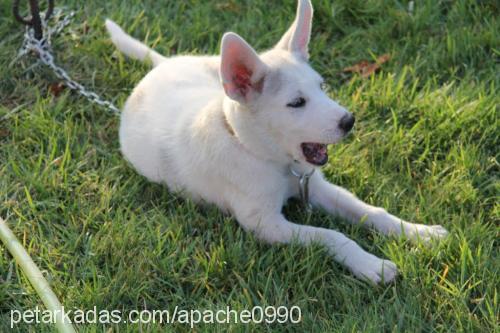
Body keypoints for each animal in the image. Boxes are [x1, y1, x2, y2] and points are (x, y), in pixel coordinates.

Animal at [106, 0, 450, 282]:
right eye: (296, 103)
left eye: (322, 86)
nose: (349, 121)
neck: (263, 155)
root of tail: (162, 66)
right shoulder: (265, 224)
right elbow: (331, 235)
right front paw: (371, 265)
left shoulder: (316, 186)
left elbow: (373, 212)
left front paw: (419, 233)